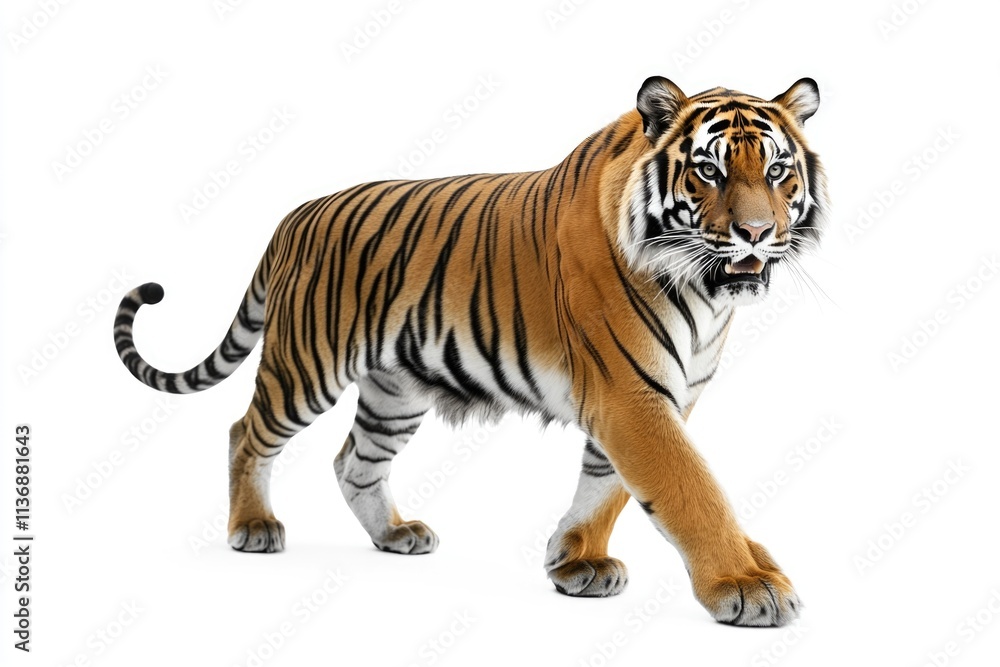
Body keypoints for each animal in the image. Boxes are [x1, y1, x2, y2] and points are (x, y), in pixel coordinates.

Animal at [114, 76, 827, 627]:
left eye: (776, 169)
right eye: (708, 170)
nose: (756, 233)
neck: (704, 294)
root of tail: (295, 217)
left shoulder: (653, 399)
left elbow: (610, 487)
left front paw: (576, 559)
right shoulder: (631, 396)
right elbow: (690, 489)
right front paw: (745, 585)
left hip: (394, 390)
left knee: (354, 461)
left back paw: (394, 534)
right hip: (305, 365)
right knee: (245, 432)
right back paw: (253, 528)